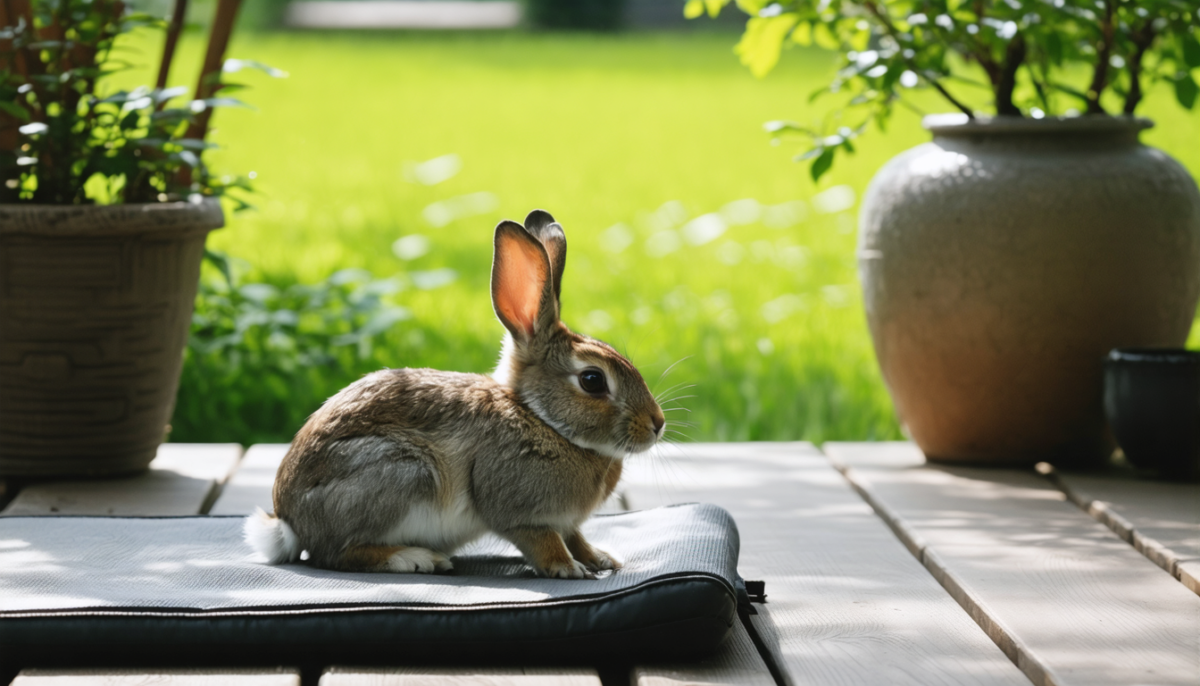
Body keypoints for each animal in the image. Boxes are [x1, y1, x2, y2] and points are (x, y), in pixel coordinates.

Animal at [244, 210, 665, 579]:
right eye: (592, 380)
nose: (657, 424)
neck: (539, 418)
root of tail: (288, 522)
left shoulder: (567, 523)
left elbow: (575, 536)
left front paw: (600, 559)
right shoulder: (518, 511)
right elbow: (542, 540)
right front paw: (567, 569)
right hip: (403, 472)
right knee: (335, 553)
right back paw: (415, 558)